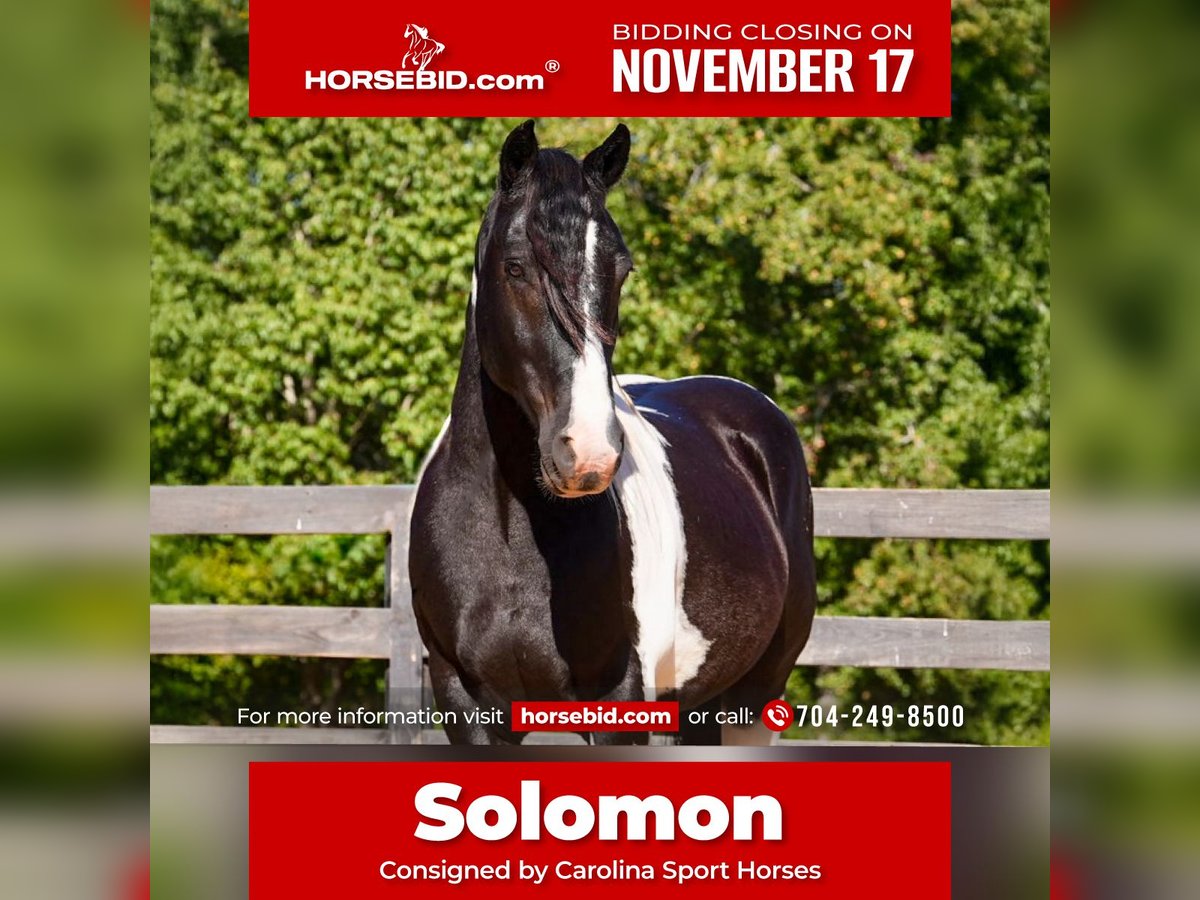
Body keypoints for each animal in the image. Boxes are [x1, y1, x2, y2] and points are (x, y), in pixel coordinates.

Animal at [408, 121, 816, 745]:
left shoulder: (618, 703)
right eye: (516, 267)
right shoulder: (465, 702)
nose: (587, 454)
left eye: (621, 270)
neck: (509, 535)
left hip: (755, 693)